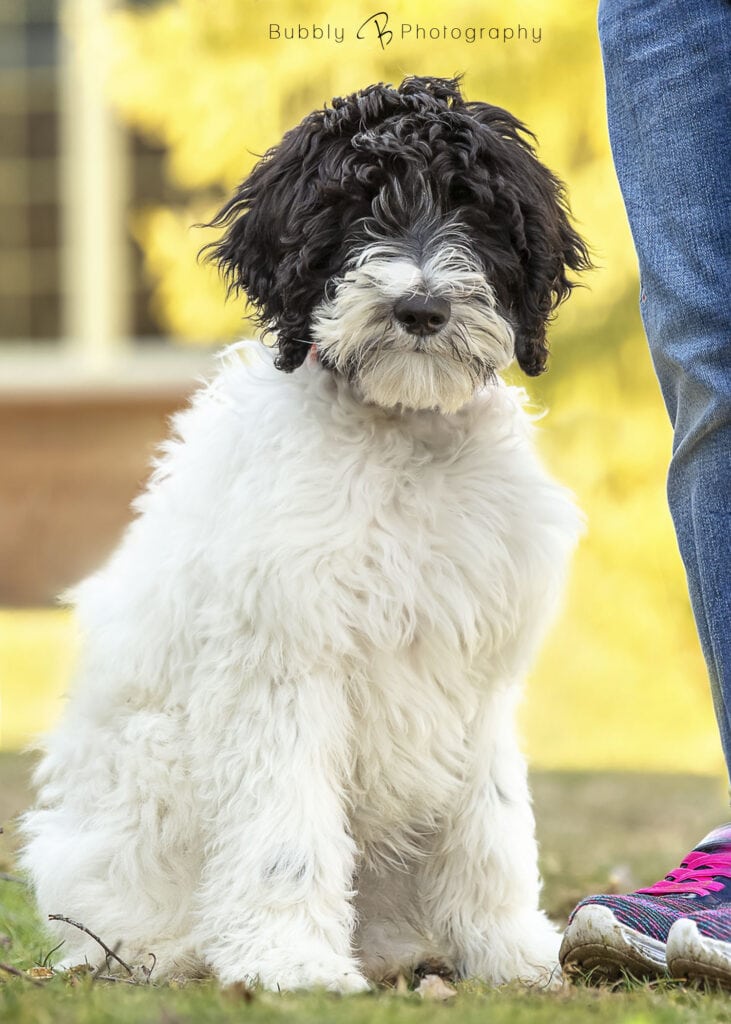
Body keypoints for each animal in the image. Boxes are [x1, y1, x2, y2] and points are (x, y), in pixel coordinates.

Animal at [19, 77, 589, 991]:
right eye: (354, 211)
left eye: (473, 209)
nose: (420, 306)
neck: (401, 436)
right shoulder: (283, 660)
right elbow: (283, 826)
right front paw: (290, 961)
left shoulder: (476, 666)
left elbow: (492, 823)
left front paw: (509, 951)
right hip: (143, 783)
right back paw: (169, 953)